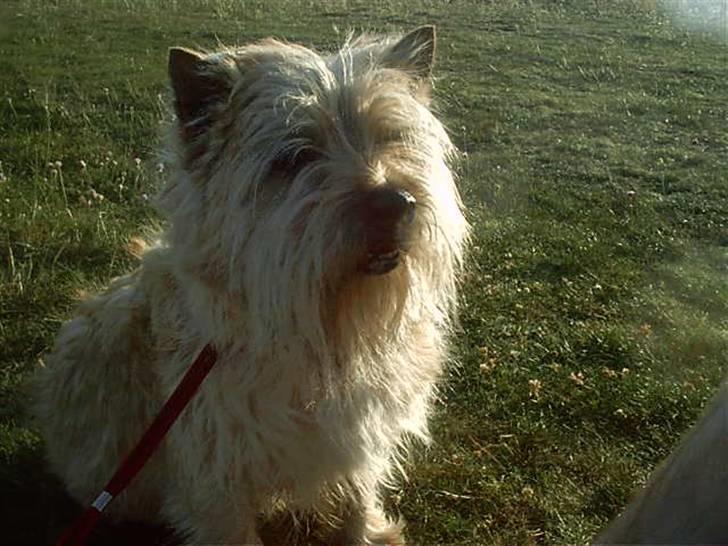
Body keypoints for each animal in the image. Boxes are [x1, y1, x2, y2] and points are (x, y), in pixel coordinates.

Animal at [32, 26, 466, 544]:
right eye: (296, 156)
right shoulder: (214, 480)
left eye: (391, 137)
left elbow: (358, 498)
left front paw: (366, 533)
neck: (318, 334)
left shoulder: (359, 434)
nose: (395, 203)